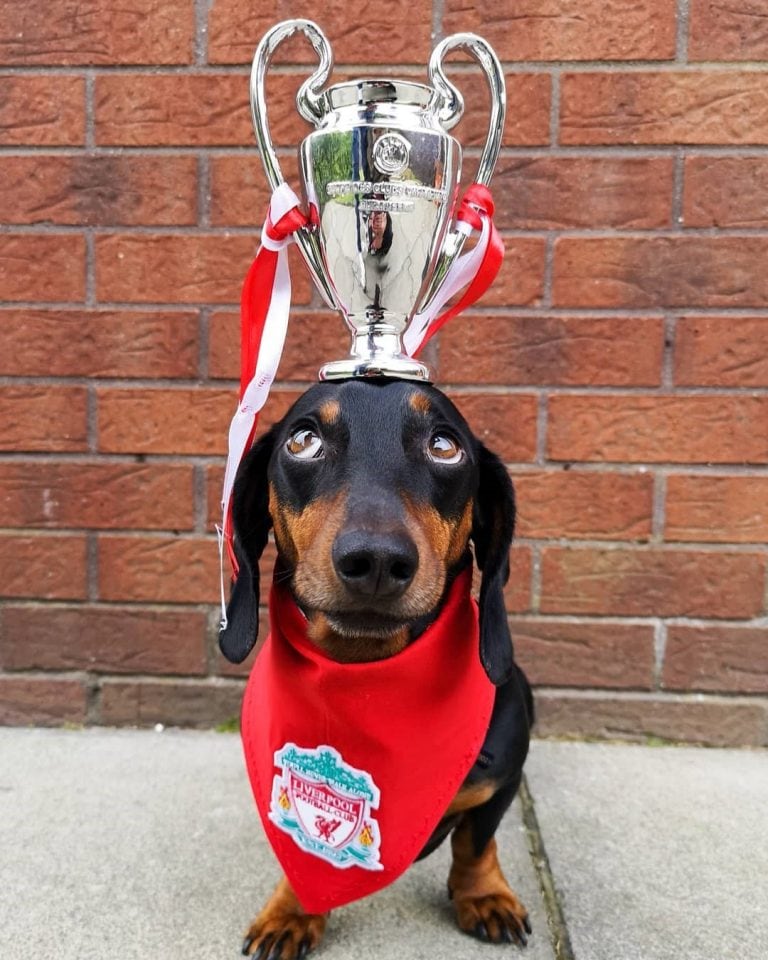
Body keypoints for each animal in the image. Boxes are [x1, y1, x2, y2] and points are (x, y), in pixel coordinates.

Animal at [219, 376, 536, 960]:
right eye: (303, 440)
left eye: (445, 445)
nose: (377, 561)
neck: (366, 678)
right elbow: (297, 848)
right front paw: (291, 909)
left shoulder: (504, 776)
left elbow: (475, 840)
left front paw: (483, 894)